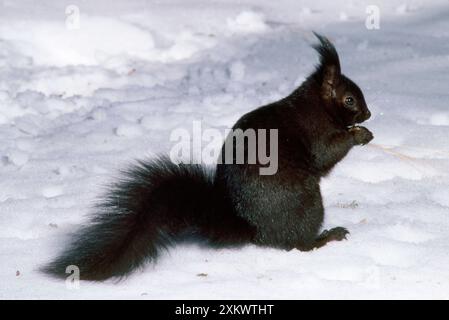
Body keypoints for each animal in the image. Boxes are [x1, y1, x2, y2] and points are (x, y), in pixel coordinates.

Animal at [42, 33, 372, 282]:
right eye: (349, 99)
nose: (368, 114)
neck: (317, 105)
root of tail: (252, 229)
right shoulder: (316, 133)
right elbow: (327, 153)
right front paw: (360, 135)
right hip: (307, 203)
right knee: (296, 245)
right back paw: (326, 237)